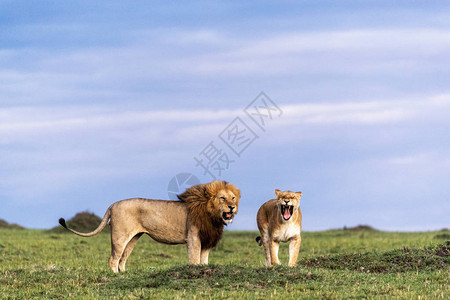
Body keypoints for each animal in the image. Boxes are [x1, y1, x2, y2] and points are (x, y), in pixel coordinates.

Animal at [61, 179, 243, 274]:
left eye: (233, 198)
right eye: (222, 198)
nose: (232, 207)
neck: (213, 216)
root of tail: (113, 204)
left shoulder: (207, 240)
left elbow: (204, 260)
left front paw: (204, 270)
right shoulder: (193, 238)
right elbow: (194, 259)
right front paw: (194, 271)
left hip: (133, 238)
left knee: (122, 258)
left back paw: (124, 275)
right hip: (120, 236)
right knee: (113, 258)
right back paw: (115, 275)